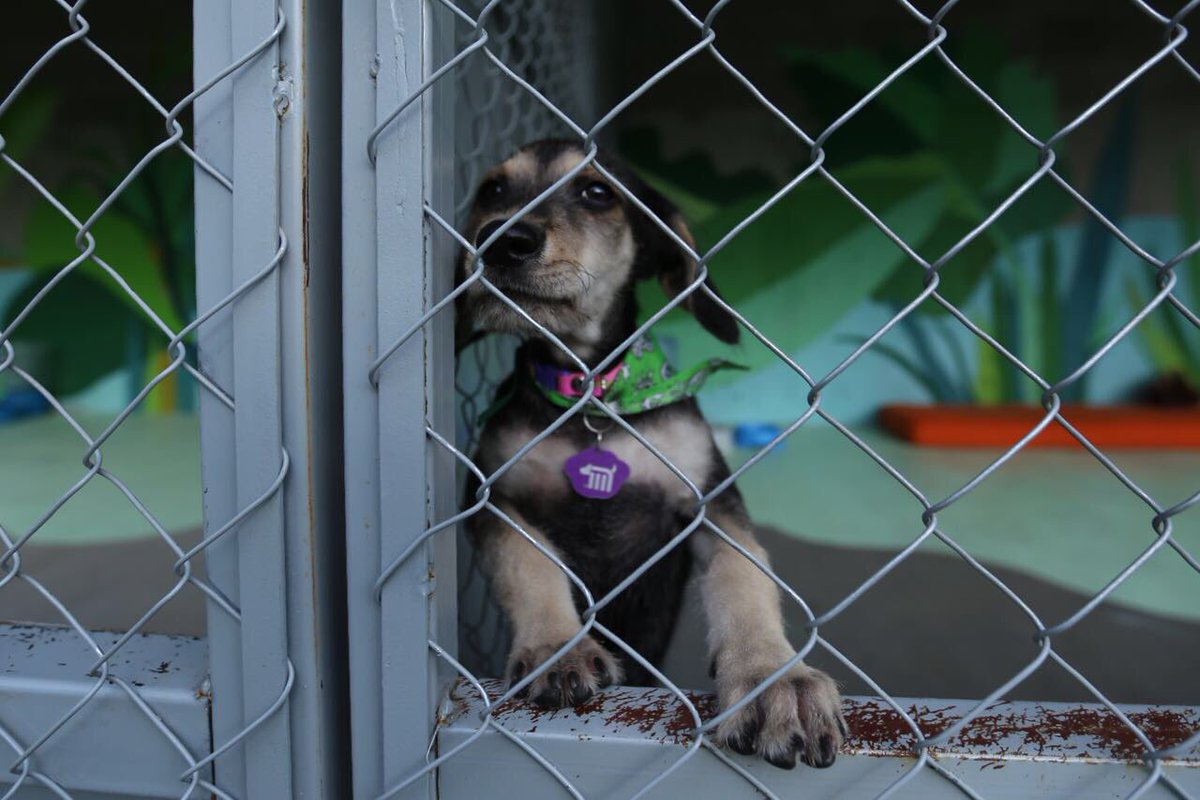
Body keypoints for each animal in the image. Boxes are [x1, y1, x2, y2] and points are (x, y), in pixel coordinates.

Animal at [456, 139, 844, 767]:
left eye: (597, 192)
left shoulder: (711, 500)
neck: (587, 396)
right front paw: (558, 647)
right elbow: (528, 562)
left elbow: (744, 574)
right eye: (492, 190)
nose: (502, 239)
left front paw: (773, 678)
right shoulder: (491, 496)